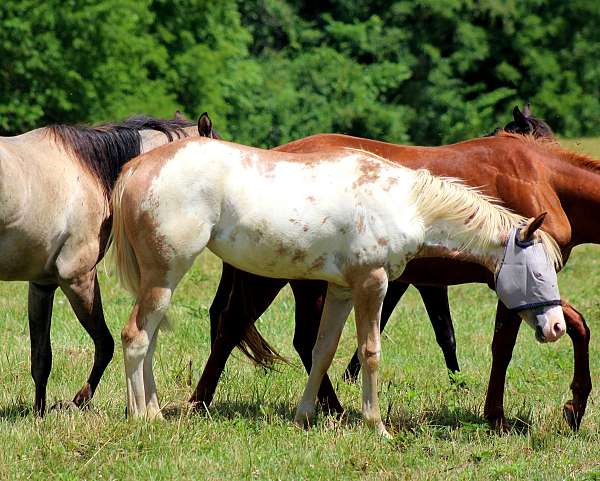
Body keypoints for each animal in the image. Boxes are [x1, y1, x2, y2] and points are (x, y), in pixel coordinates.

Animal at [0, 112, 220, 412]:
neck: (88, 172)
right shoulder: (78, 279)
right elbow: (105, 344)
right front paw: (80, 399)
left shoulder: (42, 285)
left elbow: (41, 359)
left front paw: (39, 413)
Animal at [110, 133, 564, 436]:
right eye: (539, 273)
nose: (557, 326)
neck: (405, 202)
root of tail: (137, 167)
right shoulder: (371, 284)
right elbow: (369, 352)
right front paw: (376, 426)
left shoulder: (343, 290)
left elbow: (323, 349)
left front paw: (304, 415)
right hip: (166, 275)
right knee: (135, 336)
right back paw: (141, 418)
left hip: (161, 282)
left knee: (149, 339)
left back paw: (154, 412)